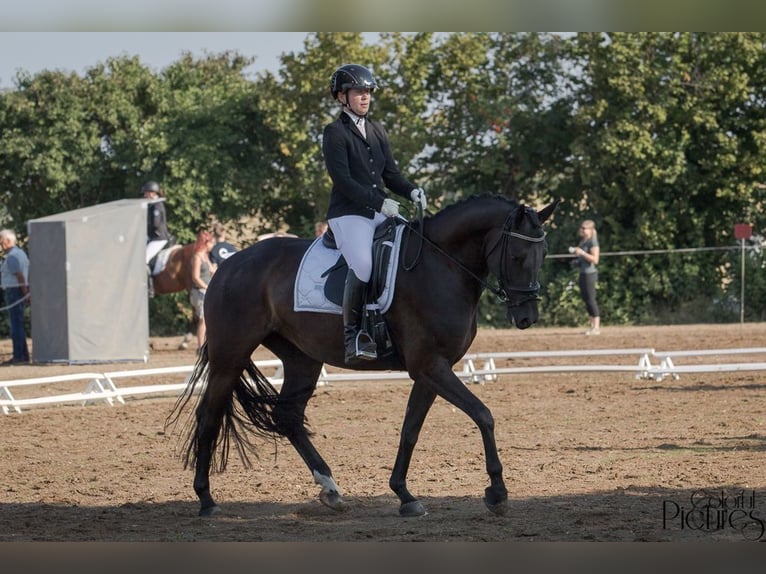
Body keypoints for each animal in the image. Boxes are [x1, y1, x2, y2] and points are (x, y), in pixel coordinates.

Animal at [168, 196, 560, 520]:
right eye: (517, 257)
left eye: (543, 255)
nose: (527, 318)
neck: (440, 266)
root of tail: (228, 265)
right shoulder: (430, 365)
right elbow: (483, 414)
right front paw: (497, 492)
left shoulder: (431, 370)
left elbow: (410, 429)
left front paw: (405, 495)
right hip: (230, 356)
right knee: (209, 417)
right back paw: (206, 500)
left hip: (301, 359)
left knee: (287, 416)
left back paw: (330, 489)